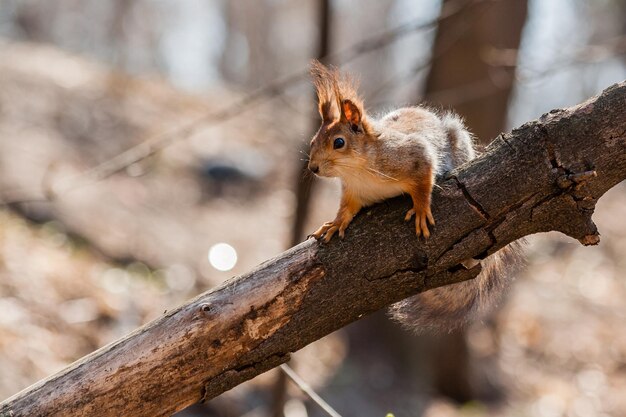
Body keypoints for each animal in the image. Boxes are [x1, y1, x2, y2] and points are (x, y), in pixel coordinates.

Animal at [304, 60, 520, 332]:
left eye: (339, 142)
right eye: (313, 141)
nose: (313, 168)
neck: (357, 171)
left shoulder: (414, 154)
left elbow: (424, 179)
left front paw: (420, 209)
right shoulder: (354, 192)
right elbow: (346, 209)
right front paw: (335, 223)